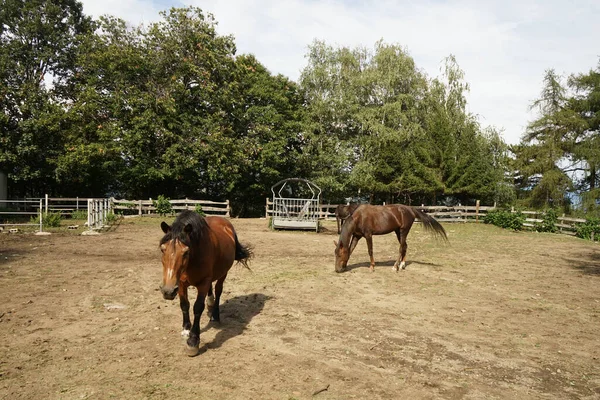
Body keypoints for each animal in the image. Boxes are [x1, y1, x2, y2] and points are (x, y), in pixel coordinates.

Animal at [159, 209, 251, 356]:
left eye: (186, 252)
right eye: (163, 249)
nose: (168, 291)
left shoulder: (203, 283)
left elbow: (197, 307)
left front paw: (193, 341)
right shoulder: (181, 284)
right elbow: (184, 305)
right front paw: (186, 330)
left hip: (223, 273)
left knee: (218, 290)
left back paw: (215, 315)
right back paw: (210, 302)